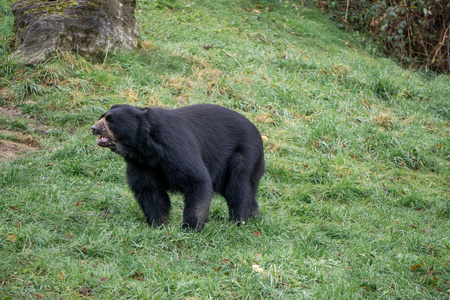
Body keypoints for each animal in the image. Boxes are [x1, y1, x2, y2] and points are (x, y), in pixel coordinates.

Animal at [91, 104, 264, 231]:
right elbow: (149, 190)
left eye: (111, 121)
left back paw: (238, 222)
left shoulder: (175, 147)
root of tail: (258, 132)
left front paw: (190, 228)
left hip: (244, 155)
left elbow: (197, 180)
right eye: (101, 117)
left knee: (238, 188)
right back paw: (254, 217)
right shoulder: (141, 164)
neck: (145, 148)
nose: (93, 128)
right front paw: (158, 224)